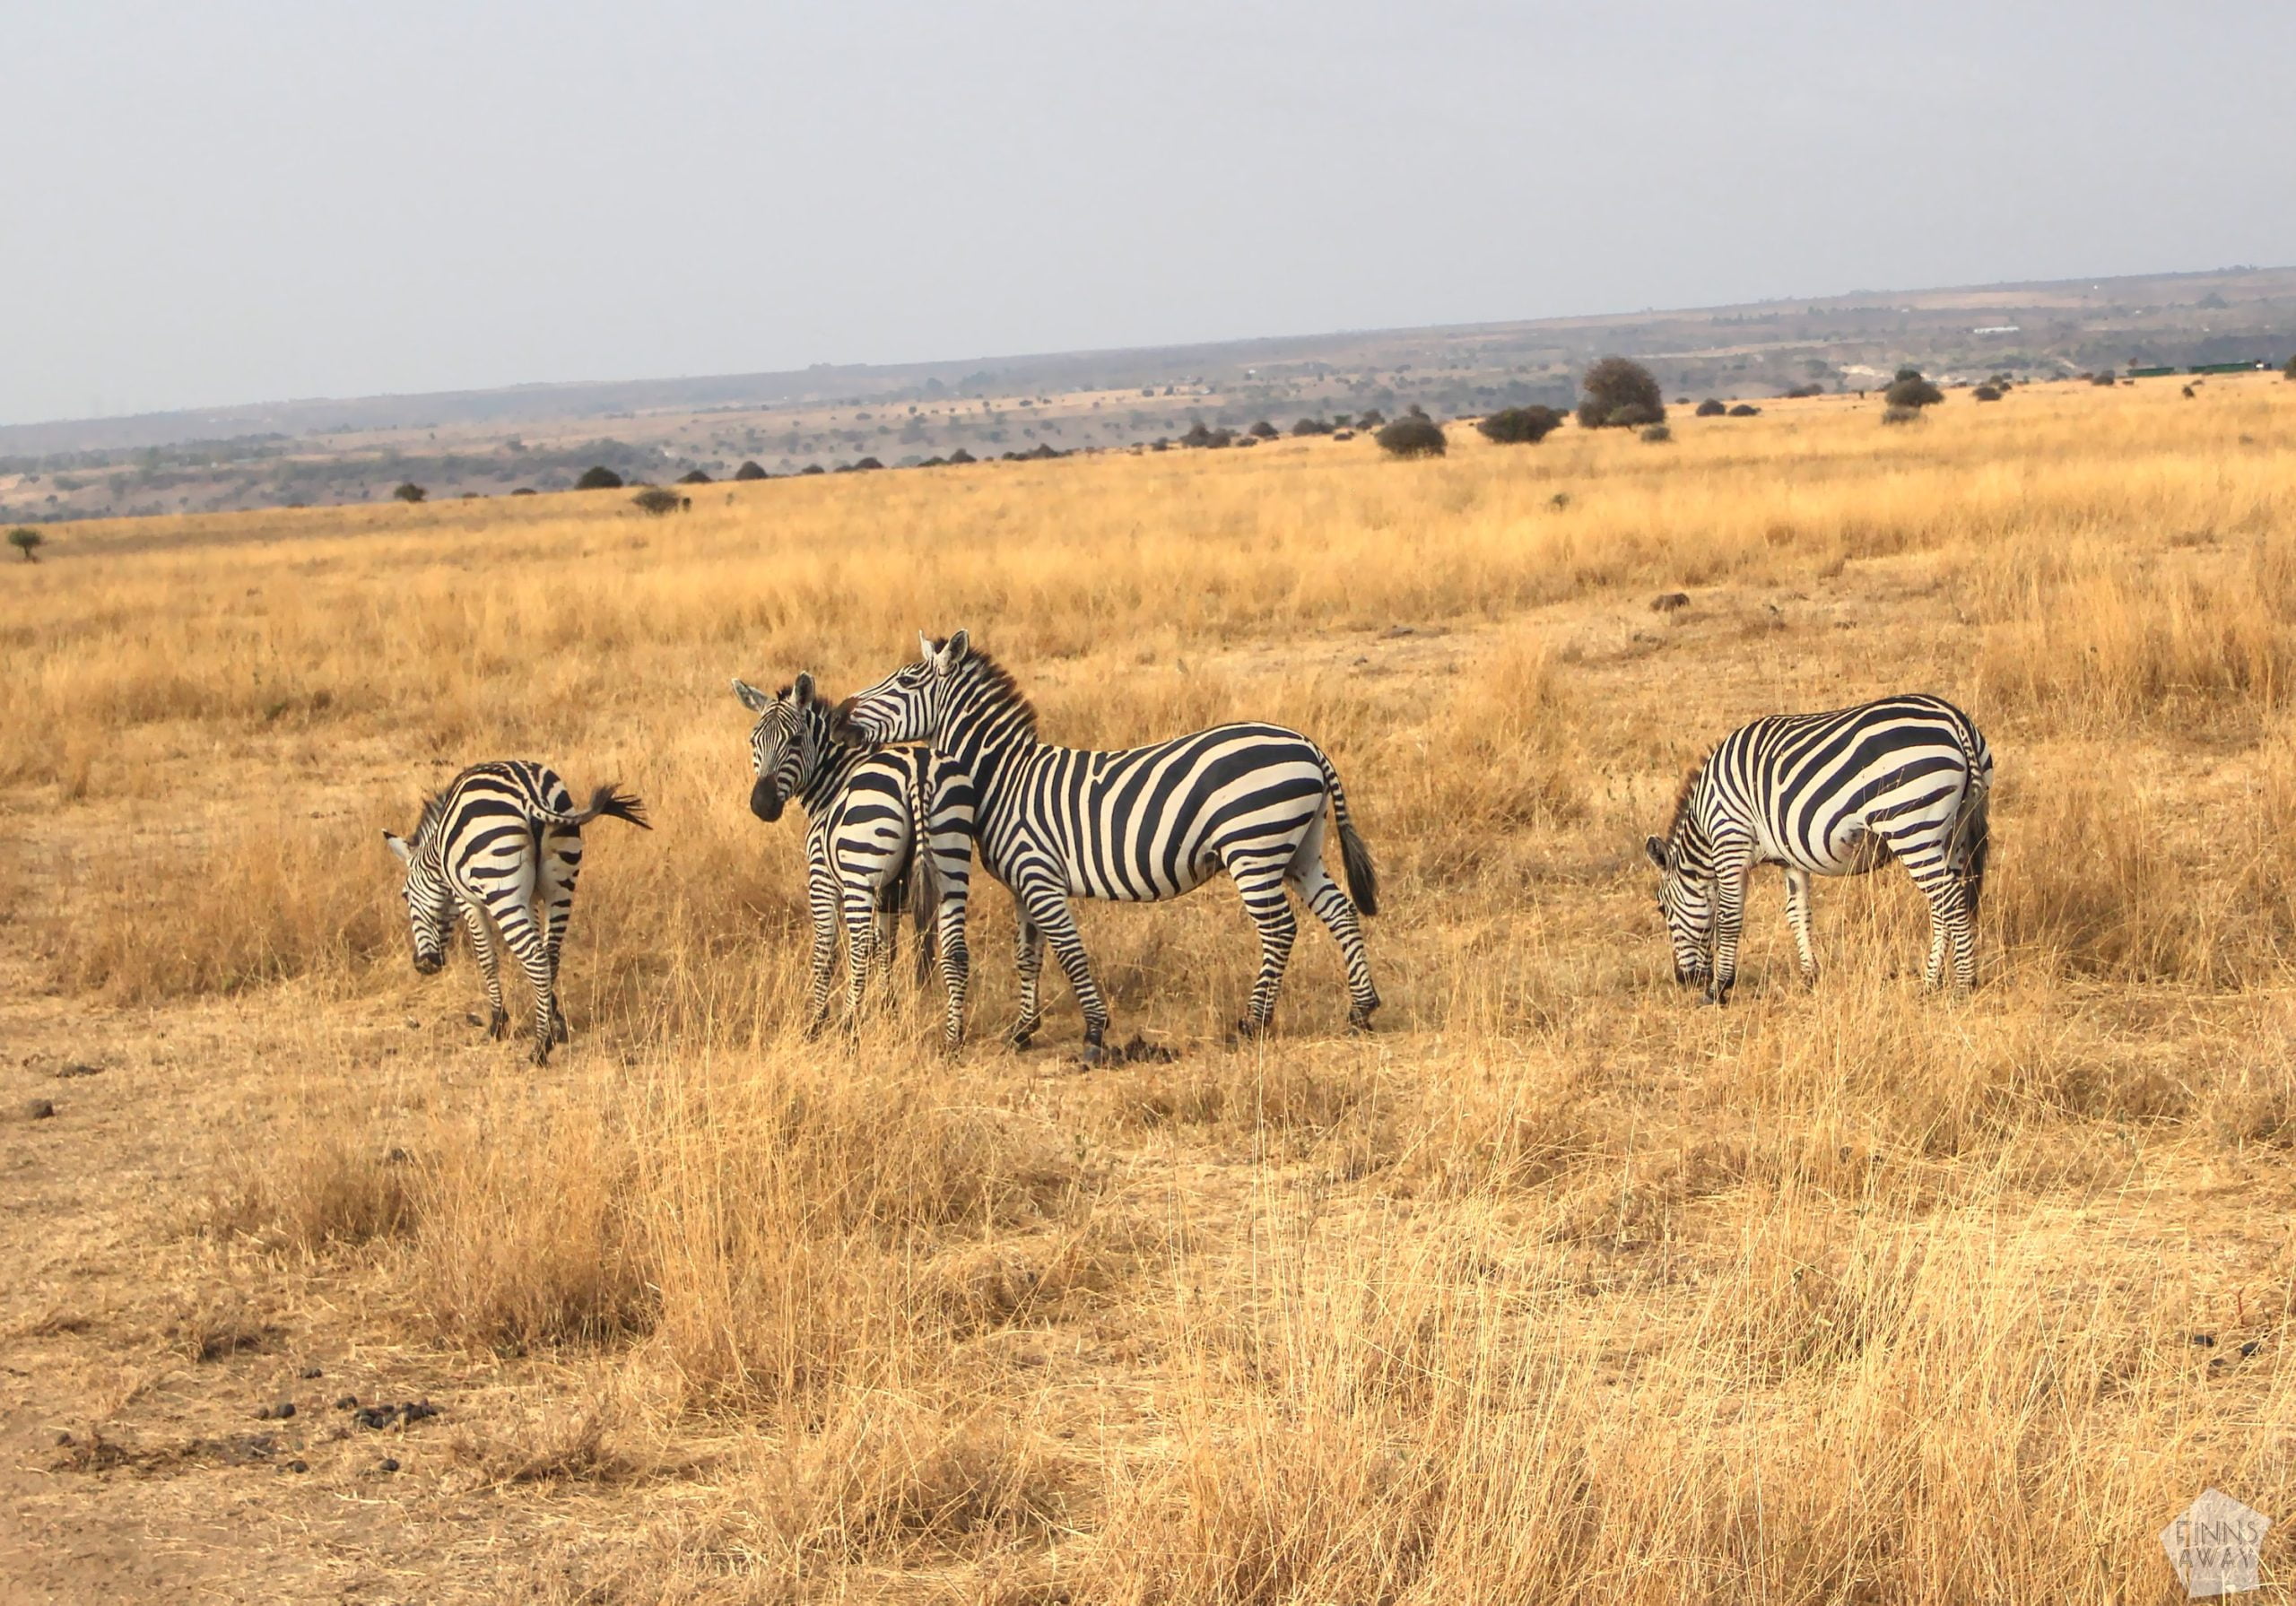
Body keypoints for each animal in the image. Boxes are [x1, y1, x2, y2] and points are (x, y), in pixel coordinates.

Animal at [383, 760, 649, 1063]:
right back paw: (547, 1031)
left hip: (500, 886)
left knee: (534, 956)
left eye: (405, 896)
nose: (422, 965)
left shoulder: (467, 901)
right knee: (550, 954)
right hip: (562, 880)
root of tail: (531, 793)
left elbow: (486, 958)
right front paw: (555, 1017)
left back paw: (540, 1047)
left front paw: (498, 1024)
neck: (438, 851)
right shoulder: (530, 898)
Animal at [732, 673, 937, 1035]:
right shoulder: (889, 888)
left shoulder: (822, 878)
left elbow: (825, 952)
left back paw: (849, 1025)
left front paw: (818, 1021)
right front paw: (888, 1011)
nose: (762, 805)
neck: (833, 785)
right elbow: (886, 947)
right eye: (754, 741)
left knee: (857, 945)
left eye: (796, 740)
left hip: (859, 878)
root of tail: (913, 775)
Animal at [832, 631, 1380, 1056]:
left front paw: (1094, 1034)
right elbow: (1028, 954)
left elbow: (1070, 952)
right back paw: (1361, 1010)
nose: (838, 715)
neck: (1002, 778)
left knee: (1280, 929)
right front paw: (1022, 1032)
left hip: (1254, 847)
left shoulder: (1040, 877)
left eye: (905, 682)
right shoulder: (1023, 884)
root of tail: (1308, 745)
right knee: (1339, 911)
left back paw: (1254, 1022)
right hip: (1299, 850)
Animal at [1643, 693, 1992, 1002]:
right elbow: (1797, 912)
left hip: (1911, 827)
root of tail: (1954, 719)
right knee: (1944, 902)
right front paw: (1809, 976)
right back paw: (1931, 983)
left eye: (1662, 908)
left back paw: (1964, 985)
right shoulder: (1790, 859)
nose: (1684, 980)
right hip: (1954, 834)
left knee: (1951, 901)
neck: (1704, 822)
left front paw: (1719, 988)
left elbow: (1728, 918)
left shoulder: (1731, 841)